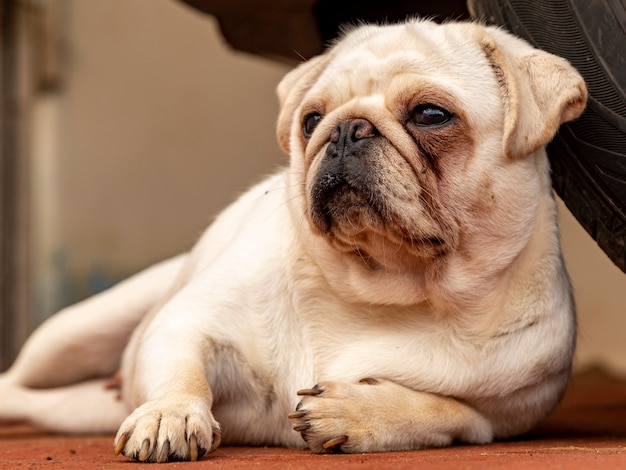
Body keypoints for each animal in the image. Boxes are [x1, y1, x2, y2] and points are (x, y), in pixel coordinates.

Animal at [1, 19, 584, 462]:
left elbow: (439, 409)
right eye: (311, 120)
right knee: (19, 381)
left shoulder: (495, 418)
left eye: (431, 115)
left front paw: (355, 411)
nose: (346, 129)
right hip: (72, 335)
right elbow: (182, 371)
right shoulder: (184, 325)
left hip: (77, 406)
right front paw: (170, 414)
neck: (388, 289)